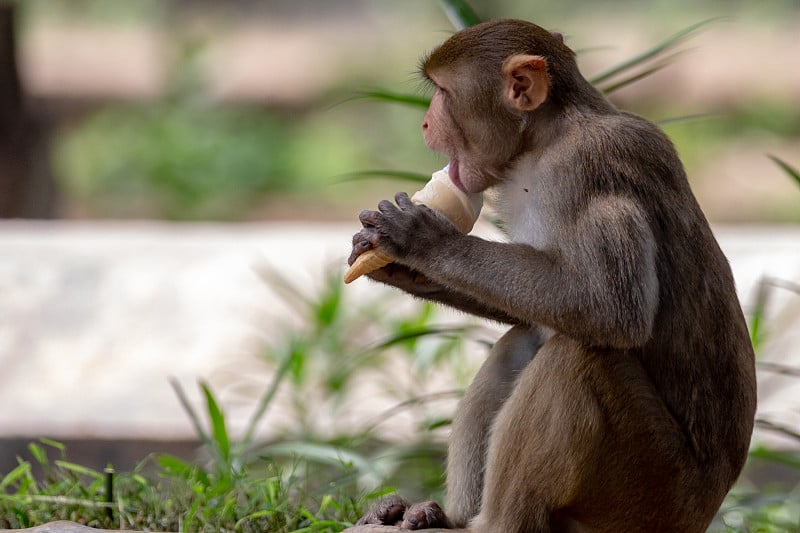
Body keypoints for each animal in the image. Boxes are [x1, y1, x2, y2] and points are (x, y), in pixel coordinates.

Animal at [346, 18, 756, 528]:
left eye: (442, 91)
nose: (424, 122)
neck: (541, 144)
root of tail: (706, 509)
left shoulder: (584, 171)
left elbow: (610, 310)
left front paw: (423, 241)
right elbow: (533, 313)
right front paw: (395, 266)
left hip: (649, 489)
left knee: (578, 354)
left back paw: (494, 525)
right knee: (521, 340)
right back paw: (443, 517)